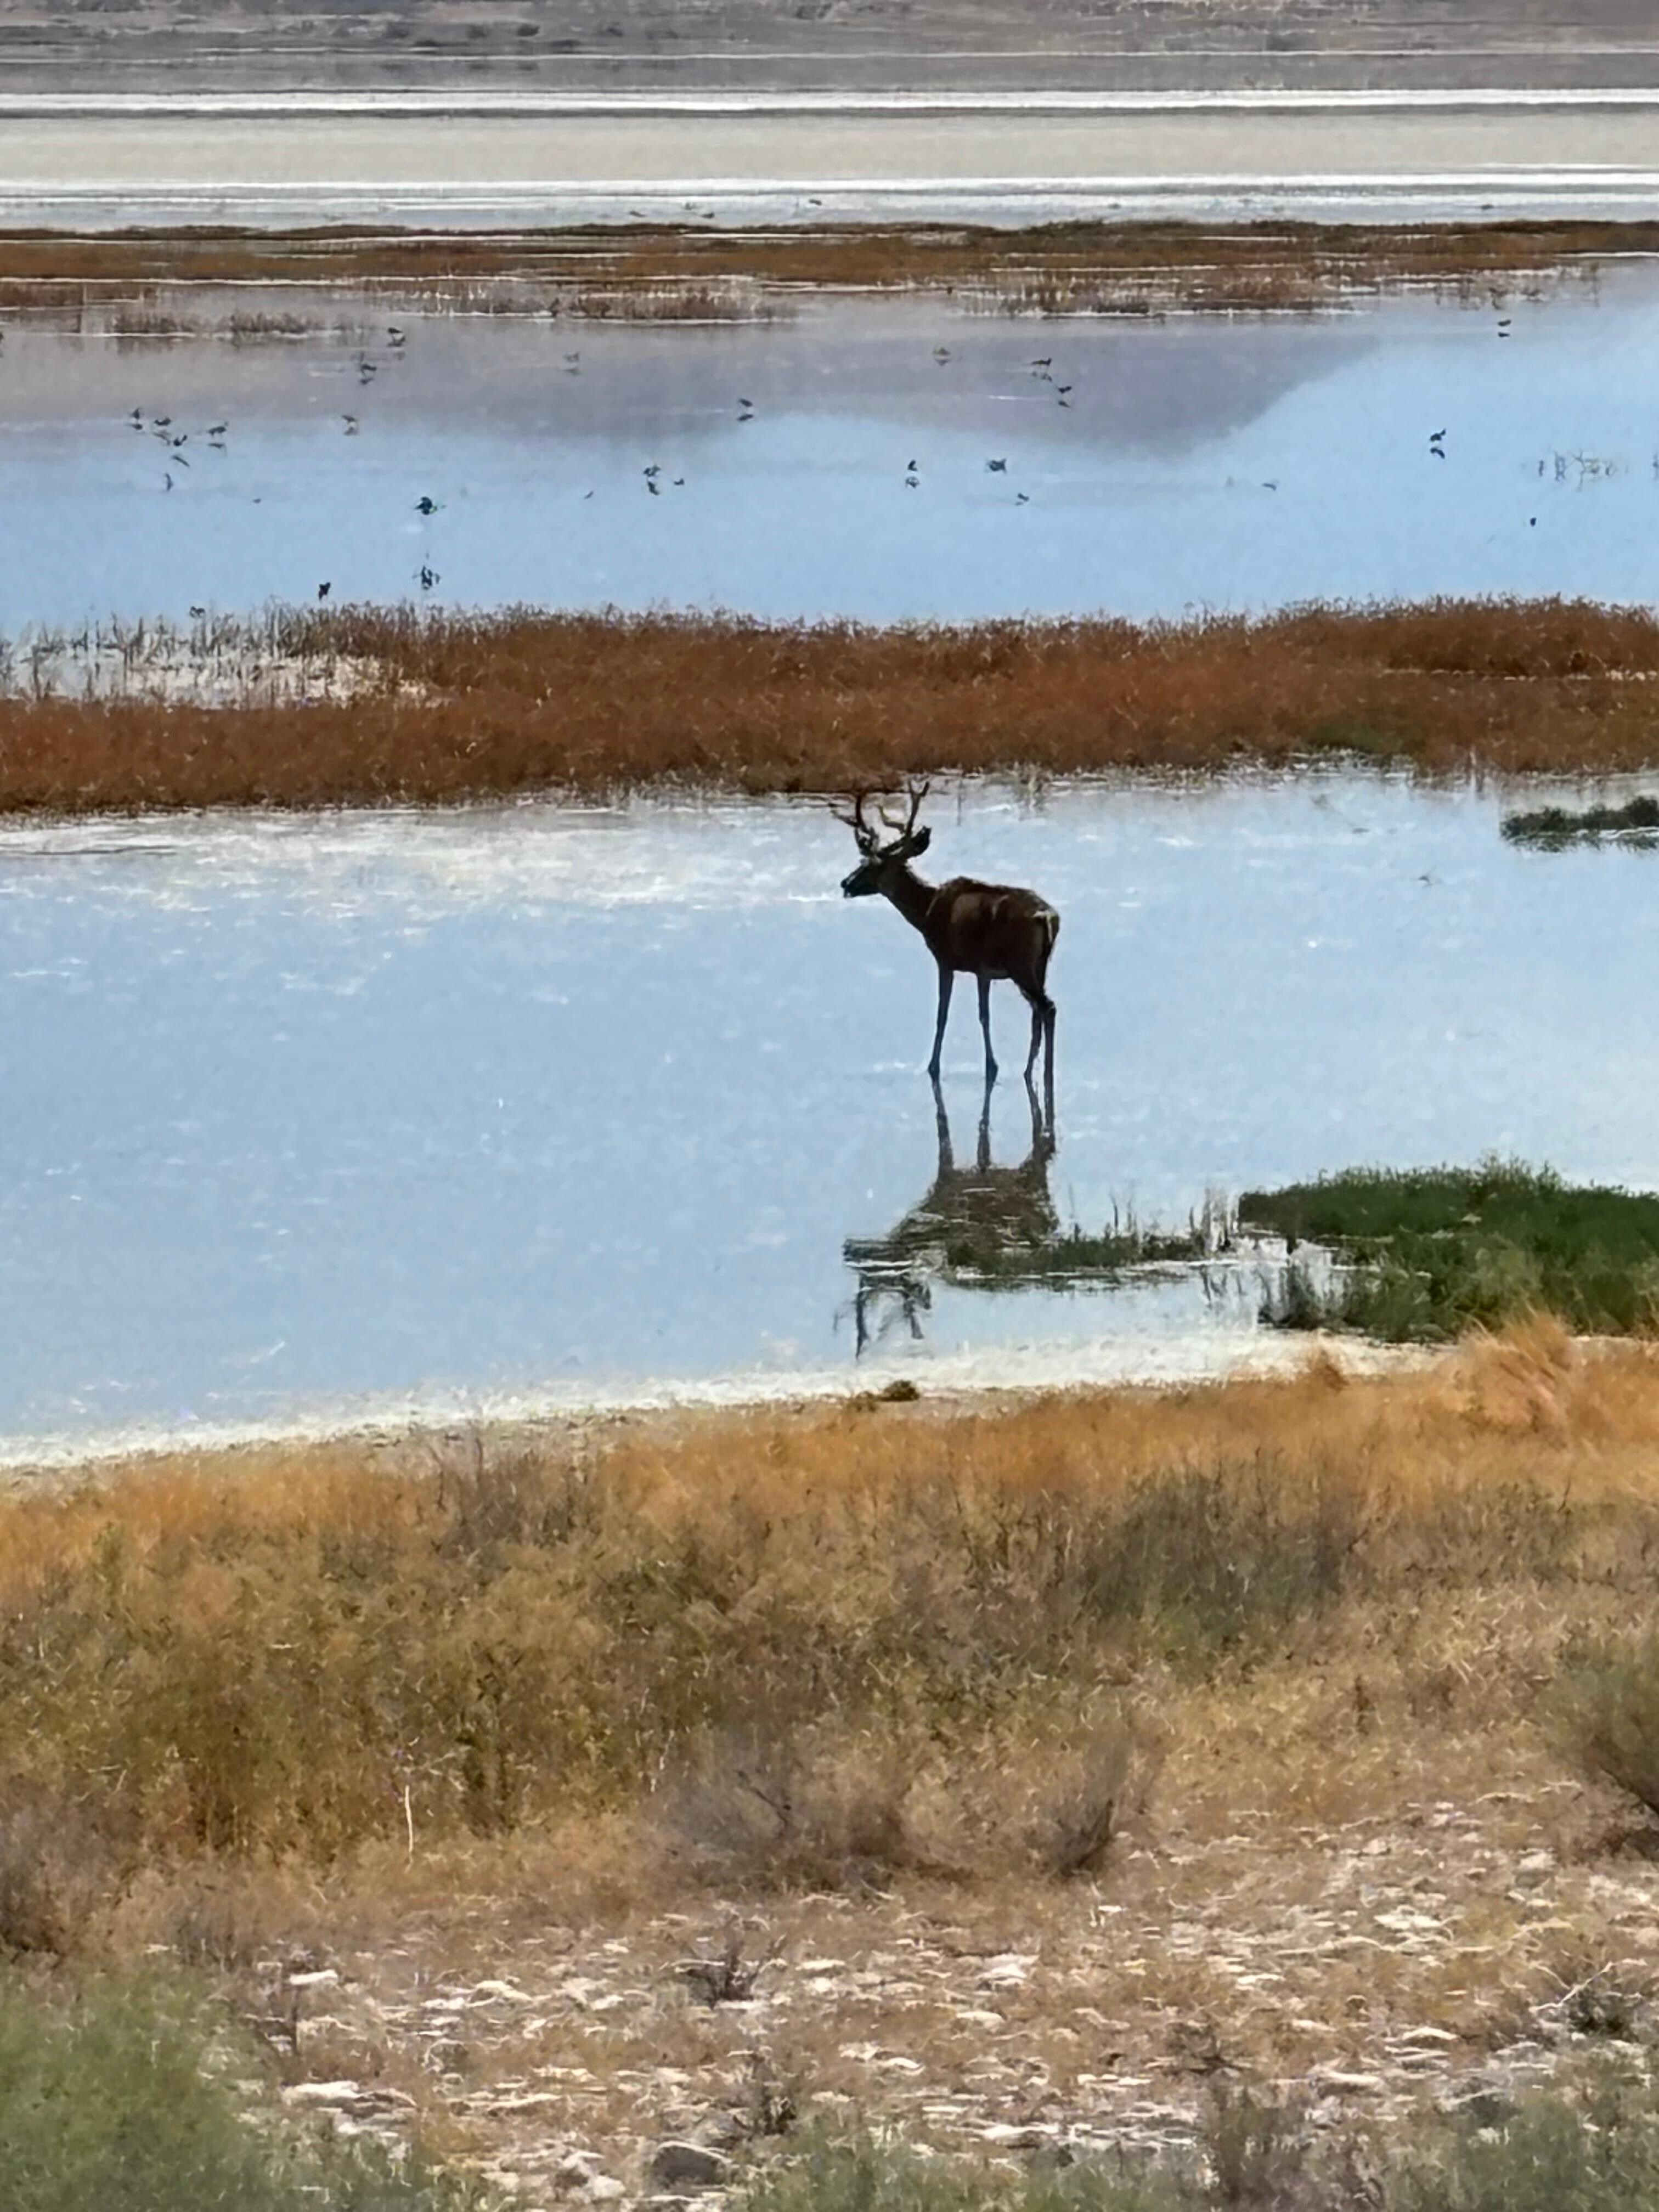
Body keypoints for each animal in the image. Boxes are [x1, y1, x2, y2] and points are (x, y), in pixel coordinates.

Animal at [835, 782, 1058, 1103]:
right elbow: (984, 1015)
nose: (846, 883)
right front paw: (991, 1065)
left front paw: (935, 1066)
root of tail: (1047, 917)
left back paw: (1045, 1073)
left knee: (1047, 1008)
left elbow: (944, 1013)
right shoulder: (983, 971)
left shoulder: (945, 958)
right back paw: (1030, 1071)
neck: (926, 912)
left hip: (1021, 964)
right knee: (1038, 1012)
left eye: (870, 864)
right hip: (1040, 965)